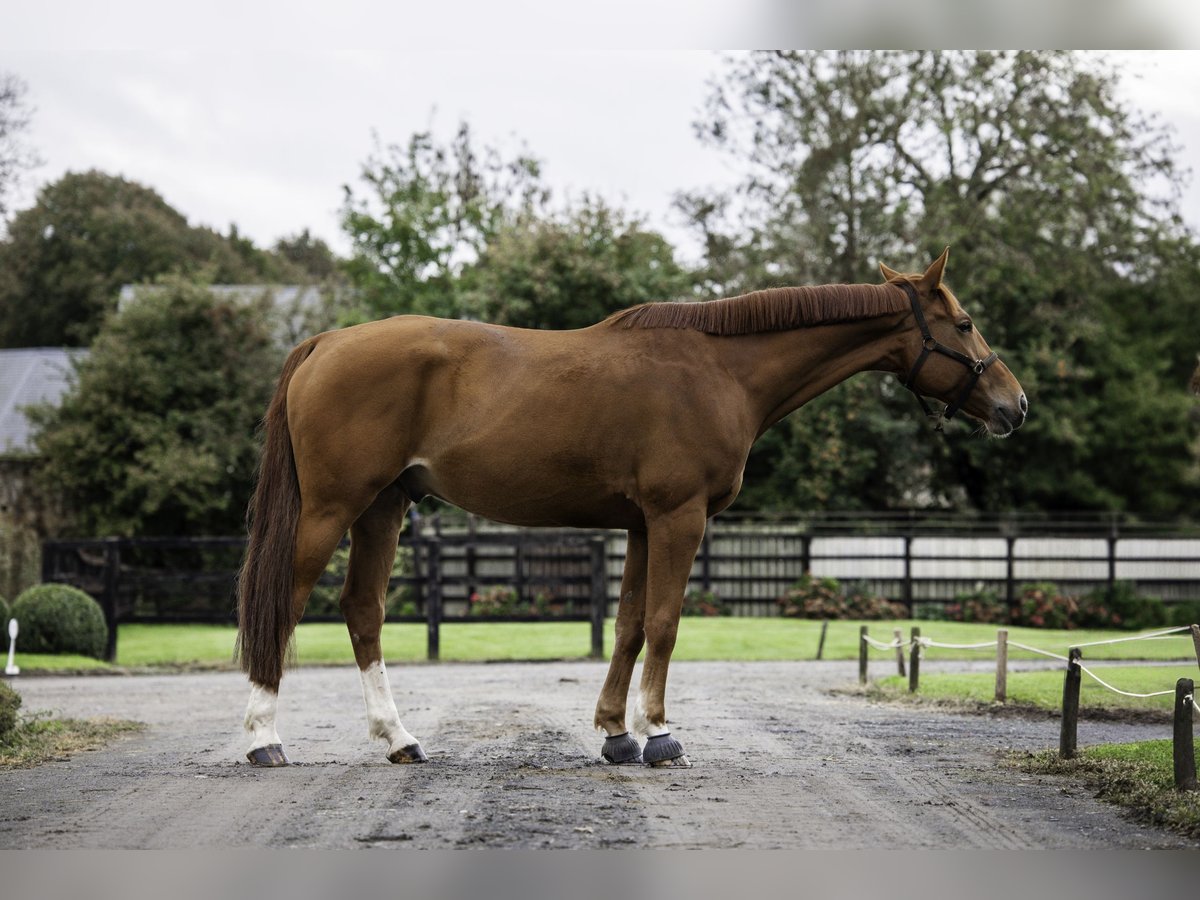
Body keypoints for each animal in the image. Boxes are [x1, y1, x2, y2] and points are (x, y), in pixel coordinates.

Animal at [238, 252, 1027, 768]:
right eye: (962, 324)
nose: (1015, 406)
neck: (719, 370)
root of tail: (326, 341)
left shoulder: (643, 525)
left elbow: (627, 628)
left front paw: (617, 734)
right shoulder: (679, 518)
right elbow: (666, 625)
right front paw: (660, 735)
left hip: (383, 508)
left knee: (362, 610)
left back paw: (399, 739)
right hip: (333, 509)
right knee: (285, 601)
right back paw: (263, 739)